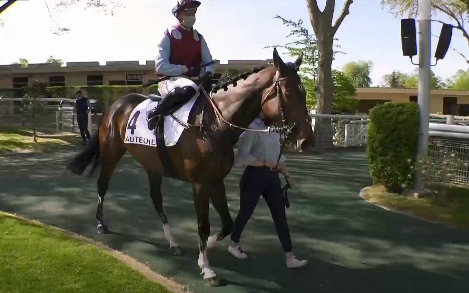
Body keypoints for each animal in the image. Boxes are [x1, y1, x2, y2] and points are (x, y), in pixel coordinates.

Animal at [66, 48, 314, 286]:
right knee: (103, 184)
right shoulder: (200, 184)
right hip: (111, 153)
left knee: (156, 199)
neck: (214, 124)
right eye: (289, 93)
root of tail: (116, 104)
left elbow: (227, 223)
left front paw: (209, 246)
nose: (307, 141)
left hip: (153, 166)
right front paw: (206, 268)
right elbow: (203, 225)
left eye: (304, 93)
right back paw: (101, 223)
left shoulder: (216, 181)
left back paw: (173, 241)